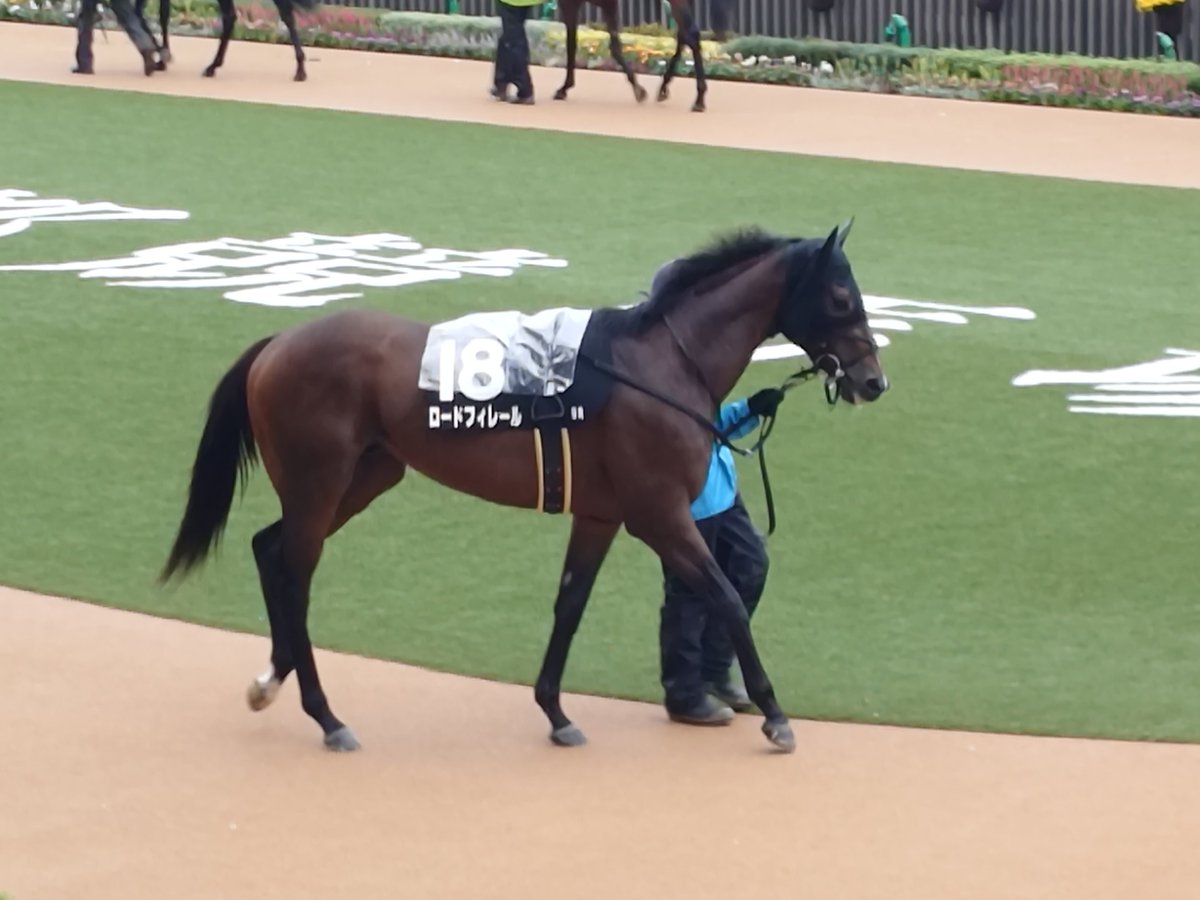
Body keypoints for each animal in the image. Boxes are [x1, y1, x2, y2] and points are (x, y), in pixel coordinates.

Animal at [157, 222, 889, 755]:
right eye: (841, 296)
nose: (873, 381)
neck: (660, 363)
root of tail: (278, 341)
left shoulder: (600, 515)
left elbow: (570, 605)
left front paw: (555, 711)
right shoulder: (661, 515)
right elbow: (730, 600)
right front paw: (774, 713)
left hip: (367, 475)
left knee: (269, 548)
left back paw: (272, 678)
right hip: (321, 482)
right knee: (294, 573)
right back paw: (326, 716)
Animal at [553, 0, 709, 111]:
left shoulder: (571, 3)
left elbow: (571, 44)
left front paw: (564, 88)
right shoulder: (608, 4)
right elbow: (615, 46)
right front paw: (639, 89)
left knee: (691, 34)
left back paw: (699, 100)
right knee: (684, 34)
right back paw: (664, 88)